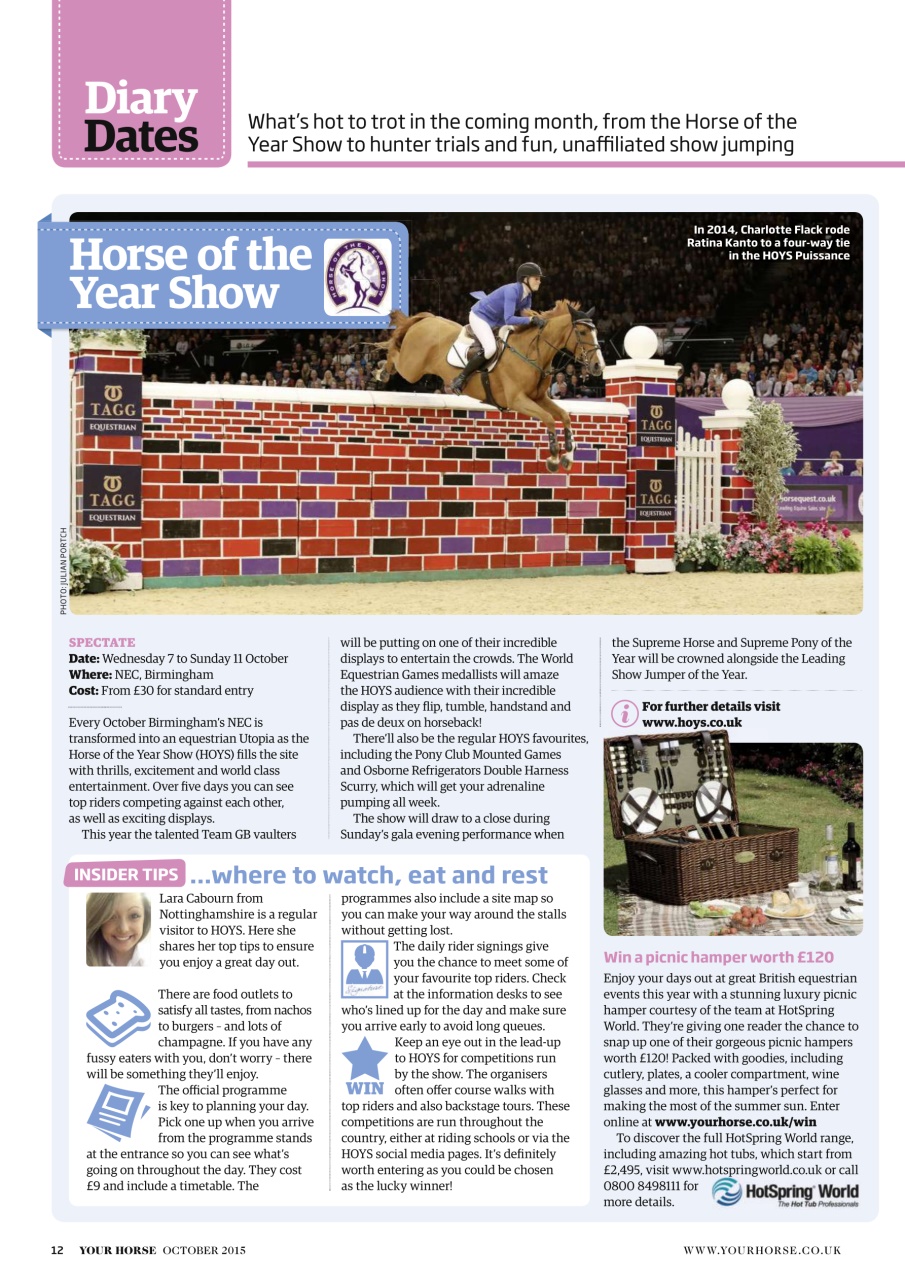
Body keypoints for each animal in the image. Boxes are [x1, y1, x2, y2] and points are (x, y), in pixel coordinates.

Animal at [375, 300, 604, 471]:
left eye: (595, 332)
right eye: (582, 332)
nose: (598, 366)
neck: (532, 353)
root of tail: (428, 319)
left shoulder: (539, 398)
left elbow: (564, 416)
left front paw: (568, 455)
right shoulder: (518, 400)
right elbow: (548, 418)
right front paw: (555, 458)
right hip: (411, 368)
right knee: (394, 352)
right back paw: (381, 370)